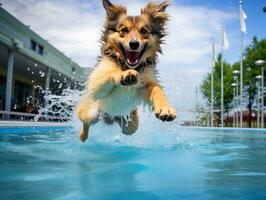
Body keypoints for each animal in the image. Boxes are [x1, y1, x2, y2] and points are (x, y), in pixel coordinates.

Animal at [76, 0, 177, 142]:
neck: (127, 64)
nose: (134, 44)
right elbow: (110, 74)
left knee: (127, 129)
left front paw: (165, 108)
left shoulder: (146, 83)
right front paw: (125, 75)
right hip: (90, 111)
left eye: (144, 31)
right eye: (124, 30)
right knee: (86, 122)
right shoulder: (98, 81)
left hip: (130, 124)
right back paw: (82, 136)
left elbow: (157, 89)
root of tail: (110, 117)